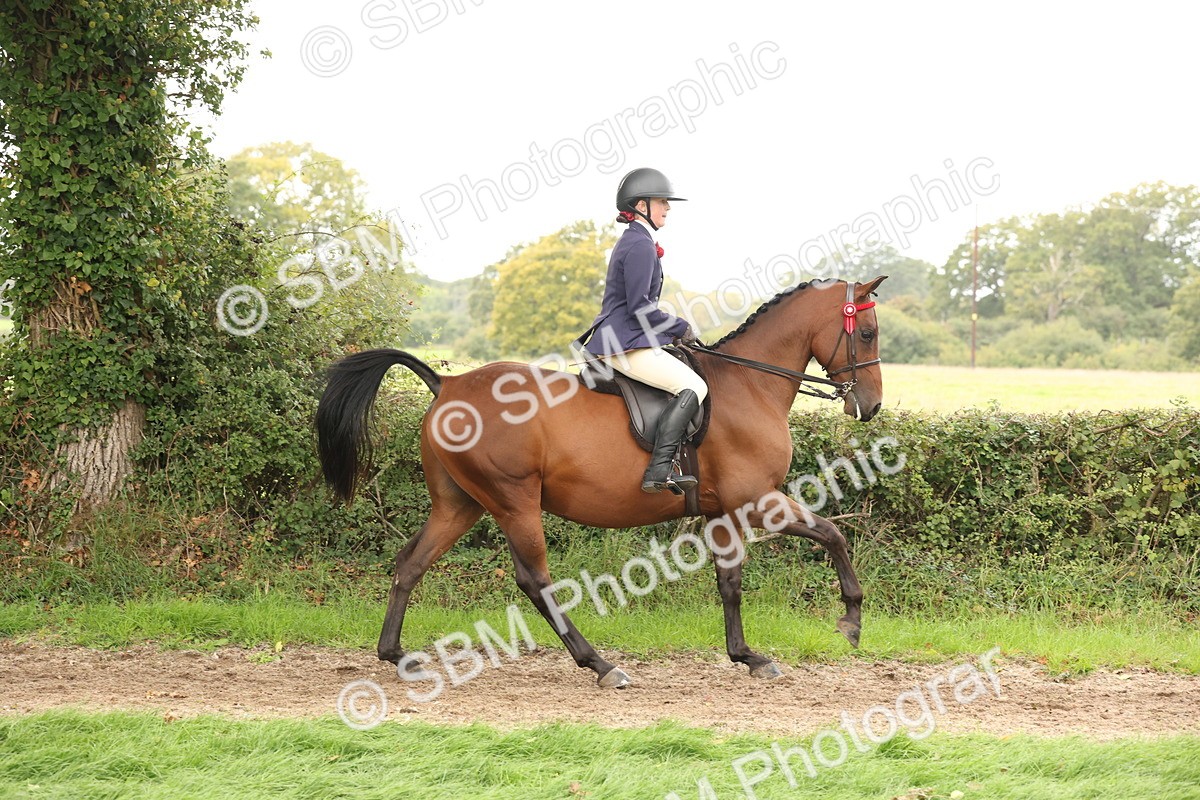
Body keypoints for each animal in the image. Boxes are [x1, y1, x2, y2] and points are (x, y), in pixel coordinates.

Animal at [316, 276, 886, 688]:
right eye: (867, 333)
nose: (872, 406)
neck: (749, 383)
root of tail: (448, 385)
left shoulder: (724, 511)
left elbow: (730, 584)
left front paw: (746, 656)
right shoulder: (757, 501)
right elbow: (833, 533)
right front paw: (851, 622)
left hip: (460, 504)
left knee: (411, 563)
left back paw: (397, 655)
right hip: (514, 501)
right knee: (535, 581)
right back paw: (601, 665)